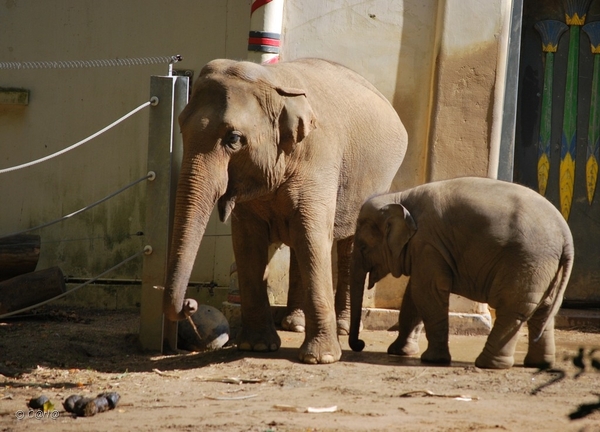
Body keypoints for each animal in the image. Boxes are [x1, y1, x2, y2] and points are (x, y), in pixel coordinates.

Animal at [164, 58, 408, 364]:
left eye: (234, 138)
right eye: (181, 129)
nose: (191, 304)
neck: (274, 82)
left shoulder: (319, 159)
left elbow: (312, 237)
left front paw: (320, 358)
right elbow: (248, 243)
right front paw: (256, 347)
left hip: (377, 178)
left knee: (347, 244)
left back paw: (341, 326)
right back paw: (295, 323)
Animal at [350, 177, 576, 370]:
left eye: (362, 246)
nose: (360, 344)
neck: (400, 197)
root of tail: (566, 236)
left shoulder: (428, 244)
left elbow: (427, 292)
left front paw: (433, 360)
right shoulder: (426, 249)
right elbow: (413, 296)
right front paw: (400, 352)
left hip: (527, 261)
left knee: (513, 309)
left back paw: (487, 365)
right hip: (545, 267)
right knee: (544, 310)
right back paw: (539, 364)